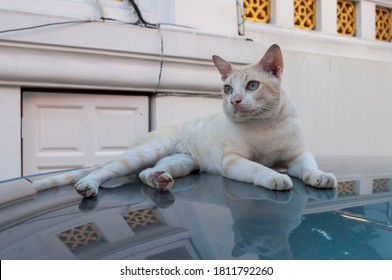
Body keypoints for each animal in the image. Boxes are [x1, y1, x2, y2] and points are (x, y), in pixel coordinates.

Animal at [32, 43, 336, 197]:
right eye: (228, 89)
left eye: (252, 86)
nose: (234, 101)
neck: (265, 123)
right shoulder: (233, 160)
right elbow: (259, 168)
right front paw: (275, 177)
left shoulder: (297, 155)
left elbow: (309, 167)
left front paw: (320, 177)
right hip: (145, 152)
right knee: (106, 171)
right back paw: (88, 186)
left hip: (181, 162)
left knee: (145, 173)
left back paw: (159, 180)